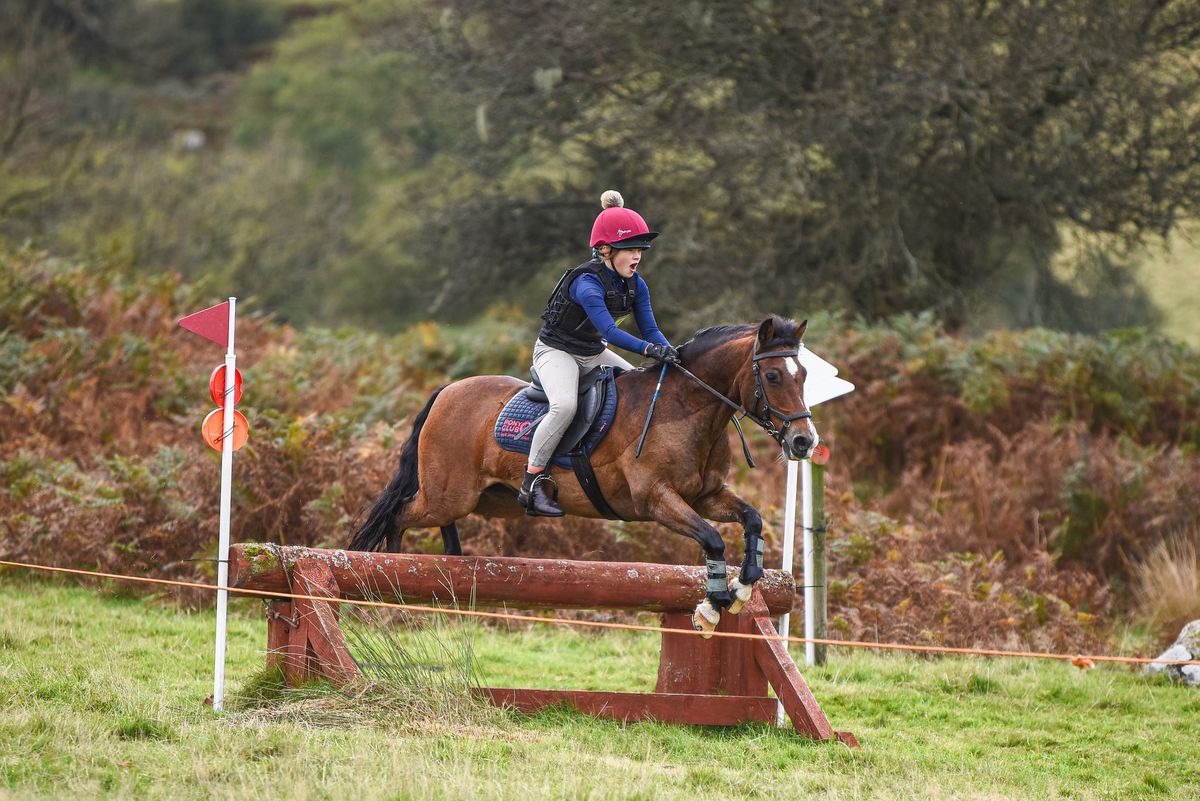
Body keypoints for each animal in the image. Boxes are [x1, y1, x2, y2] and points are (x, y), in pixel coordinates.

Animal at [345, 316, 816, 633]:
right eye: (773, 375)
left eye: (805, 375)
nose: (803, 442)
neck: (688, 408)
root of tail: (447, 390)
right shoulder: (657, 500)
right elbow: (713, 539)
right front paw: (712, 604)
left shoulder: (708, 496)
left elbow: (752, 519)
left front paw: (742, 588)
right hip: (448, 495)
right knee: (400, 516)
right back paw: (393, 583)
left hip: (484, 500)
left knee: (437, 524)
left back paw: (446, 567)